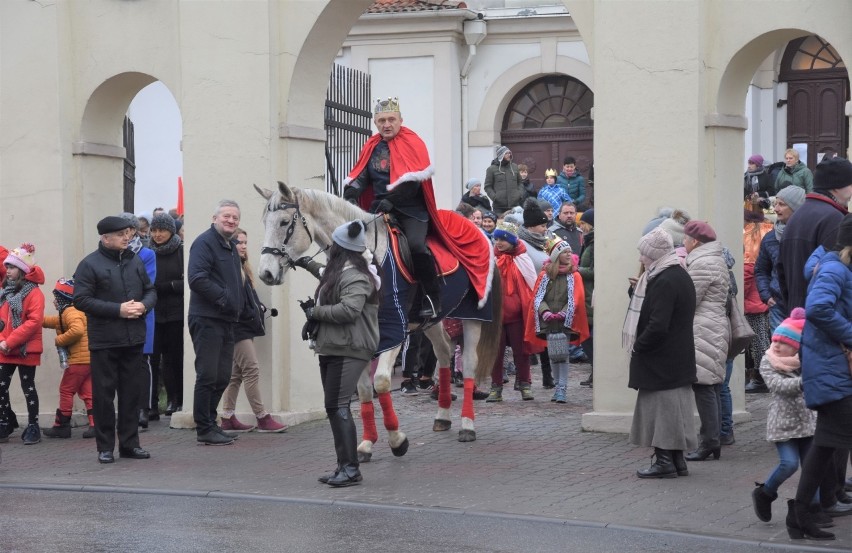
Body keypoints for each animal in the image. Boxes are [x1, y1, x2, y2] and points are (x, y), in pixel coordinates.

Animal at [256, 181, 502, 458]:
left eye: (285, 222)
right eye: (265, 221)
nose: (265, 273)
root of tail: (479, 231)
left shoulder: (394, 331)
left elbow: (381, 382)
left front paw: (396, 439)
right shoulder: (360, 333)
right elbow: (364, 389)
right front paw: (366, 443)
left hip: (474, 316)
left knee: (469, 363)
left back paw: (467, 425)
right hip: (431, 321)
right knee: (444, 351)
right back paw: (442, 415)